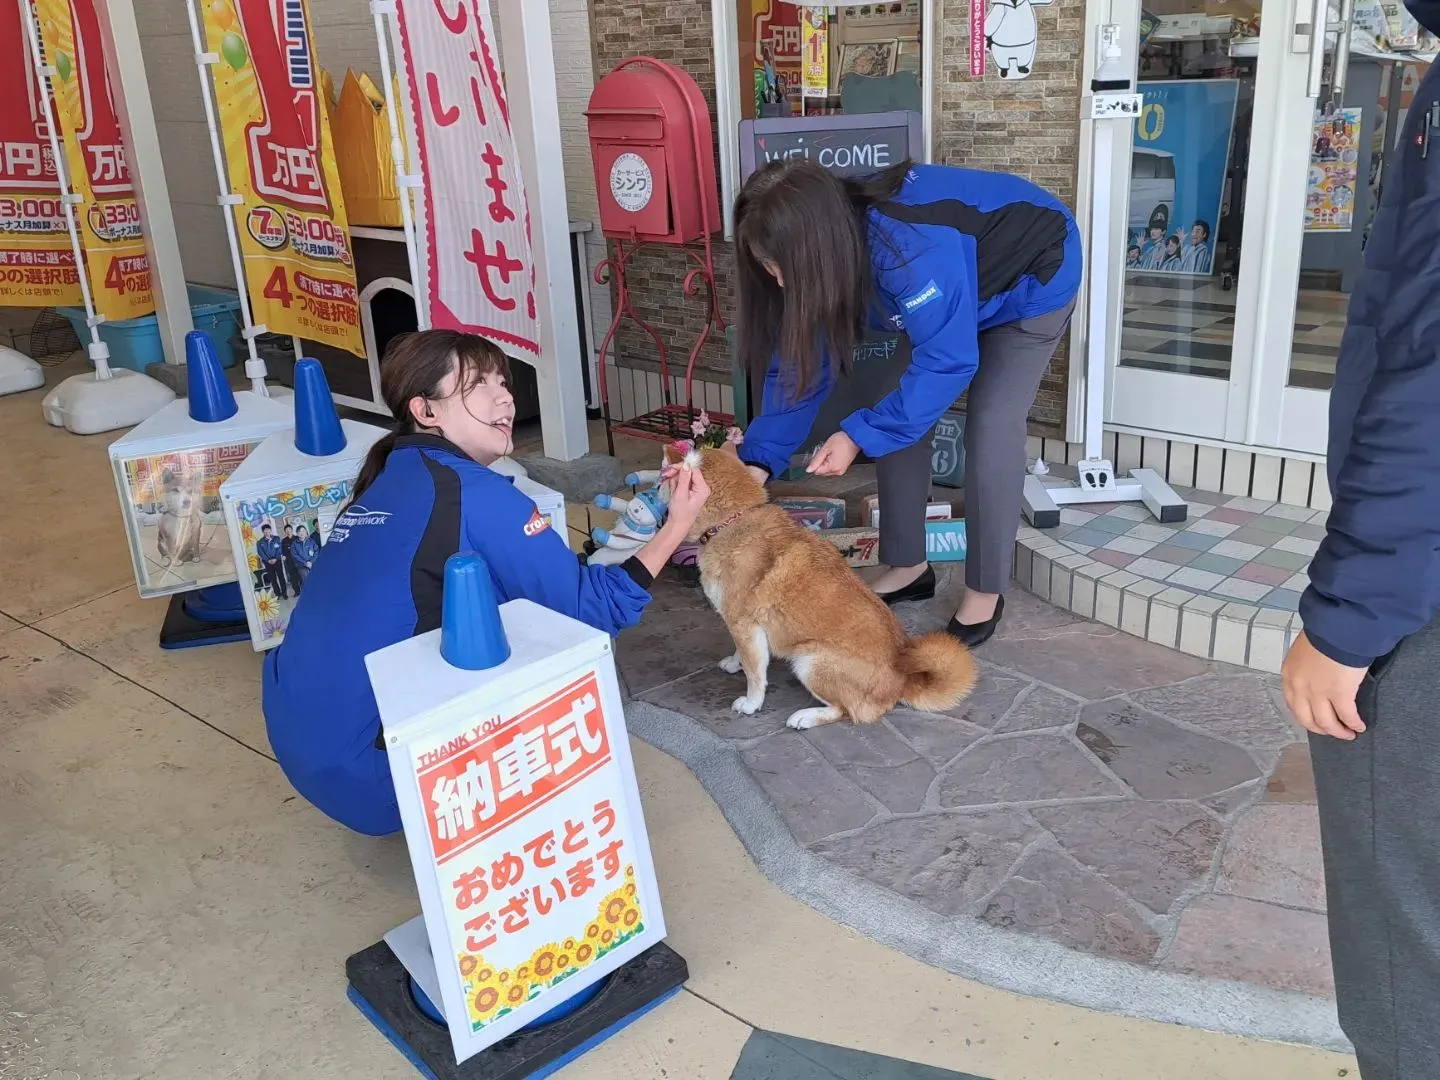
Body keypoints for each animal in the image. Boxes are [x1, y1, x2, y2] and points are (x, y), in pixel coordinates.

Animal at [676, 443, 979, 731]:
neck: (730, 523)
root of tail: (901, 680)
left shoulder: (744, 624)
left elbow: (755, 675)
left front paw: (751, 703)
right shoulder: (743, 627)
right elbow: (743, 655)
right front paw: (733, 663)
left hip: (809, 661)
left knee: (846, 711)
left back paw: (806, 717)